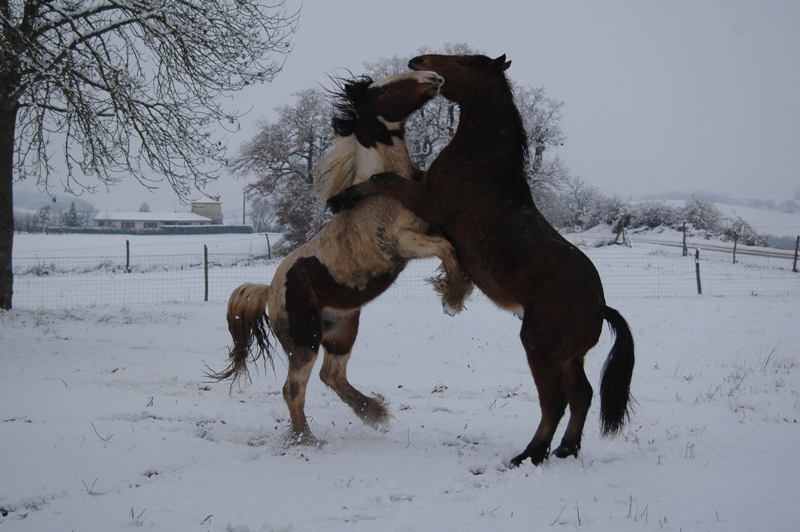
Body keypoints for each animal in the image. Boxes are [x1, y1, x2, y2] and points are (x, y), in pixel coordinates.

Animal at [212, 69, 476, 444]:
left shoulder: (429, 225)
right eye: (382, 90)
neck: (378, 194)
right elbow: (444, 247)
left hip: (341, 332)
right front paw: (453, 298)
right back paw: (306, 439)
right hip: (305, 341)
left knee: (331, 376)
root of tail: (269, 291)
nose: (433, 77)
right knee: (294, 388)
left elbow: (450, 243)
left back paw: (374, 413)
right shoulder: (400, 243)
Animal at [328, 54, 636, 466]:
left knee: (555, 401)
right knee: (582, 396)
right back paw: (566, 449)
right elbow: (389, 176)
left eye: (462, 61)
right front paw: (341, 199)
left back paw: (530, 455)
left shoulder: (428, 200)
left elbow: (385, 179)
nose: (420, 62)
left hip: (540, 348)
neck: (481, 163)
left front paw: (340, 200)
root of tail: (600, 306)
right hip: (569, 357)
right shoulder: (423, 185)